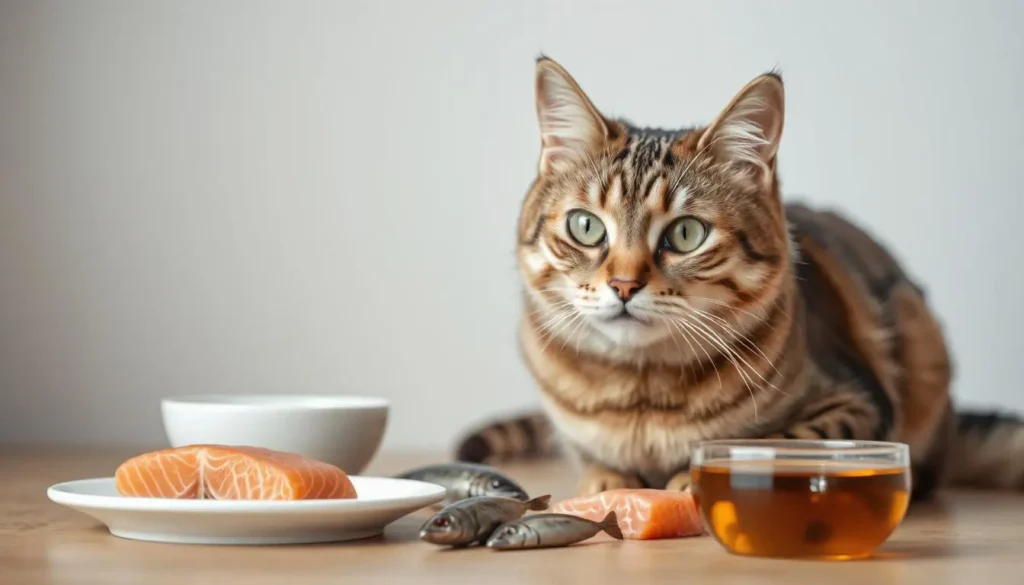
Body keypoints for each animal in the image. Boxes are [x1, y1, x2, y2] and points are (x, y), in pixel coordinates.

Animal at [456, 57, 1024, 502]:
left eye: (686, 234)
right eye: (586, 226)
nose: (623, 285)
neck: (641, 396)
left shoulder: (860, 402)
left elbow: (785, 439)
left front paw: (687, 476)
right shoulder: (574, 432)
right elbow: (592, 457)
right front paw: (605, 478)